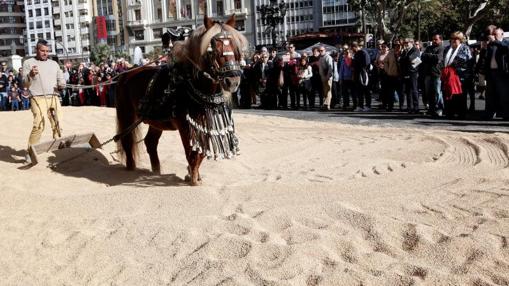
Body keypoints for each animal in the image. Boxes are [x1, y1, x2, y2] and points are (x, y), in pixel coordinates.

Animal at [115, 15, 250, 185]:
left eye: (235, 47)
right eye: (213, 50)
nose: (233, 81)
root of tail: (126, 73)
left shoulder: (204, 123)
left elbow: (200, 152)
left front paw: (195, 175)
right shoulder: (184, 125)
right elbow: (191, 152)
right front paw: (193, 178)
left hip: (156, 121)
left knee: (150, 142)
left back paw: (156, 170)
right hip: (126, 114)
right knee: (126, 140)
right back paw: (131, 167)